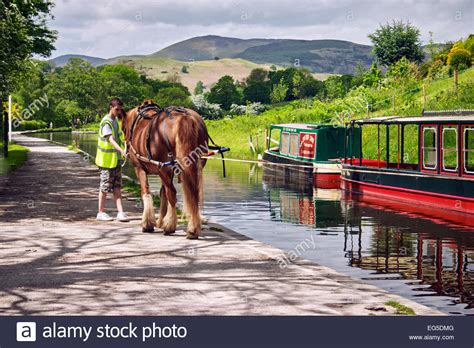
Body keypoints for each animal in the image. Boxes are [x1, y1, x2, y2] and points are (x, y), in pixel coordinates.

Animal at [123, 99, 208, 238]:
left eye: (123, 128)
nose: (126, 147)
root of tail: (184, 116)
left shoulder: (140, 168)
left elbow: (146, 191)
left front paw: (148, 223)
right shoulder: (167, 170)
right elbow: (162, 193)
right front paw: (160, 221)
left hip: (164, 169)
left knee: (172, 193)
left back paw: (170, 227)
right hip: (195, 165)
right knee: (191, 193)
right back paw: (192, 227)